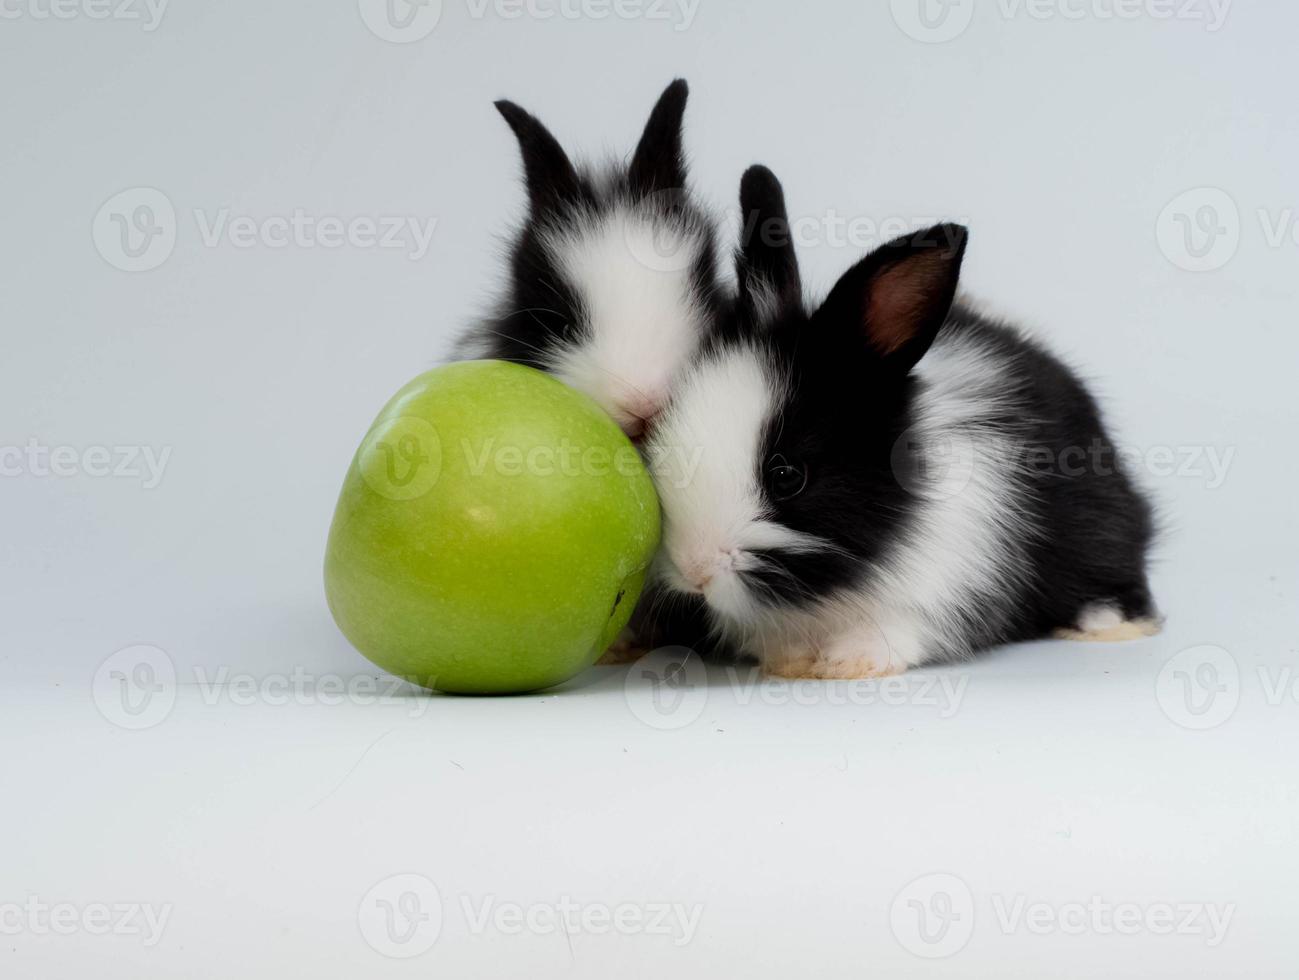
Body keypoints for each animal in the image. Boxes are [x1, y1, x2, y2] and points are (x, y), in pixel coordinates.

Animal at [644, 164, 1163, 675]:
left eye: (786, 475)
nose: (694, 569)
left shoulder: (949, 586)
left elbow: (898, 629)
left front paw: (851, 661)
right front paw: (792, 661)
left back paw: (1106, 625)